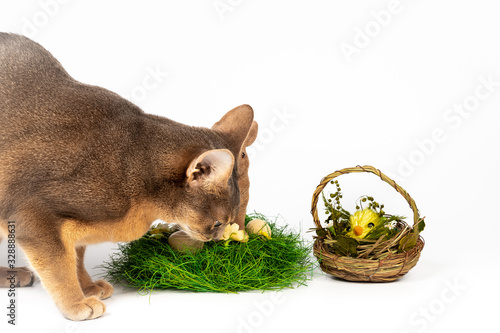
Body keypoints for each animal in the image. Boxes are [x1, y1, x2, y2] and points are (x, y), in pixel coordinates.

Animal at [0, 33, 258, 320]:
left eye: (232, 220)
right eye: (218, 223)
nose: (216, 240)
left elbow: (76, 256)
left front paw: (87, 286)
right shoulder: (32, 215)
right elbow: (59, 267)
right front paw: (76, 303)